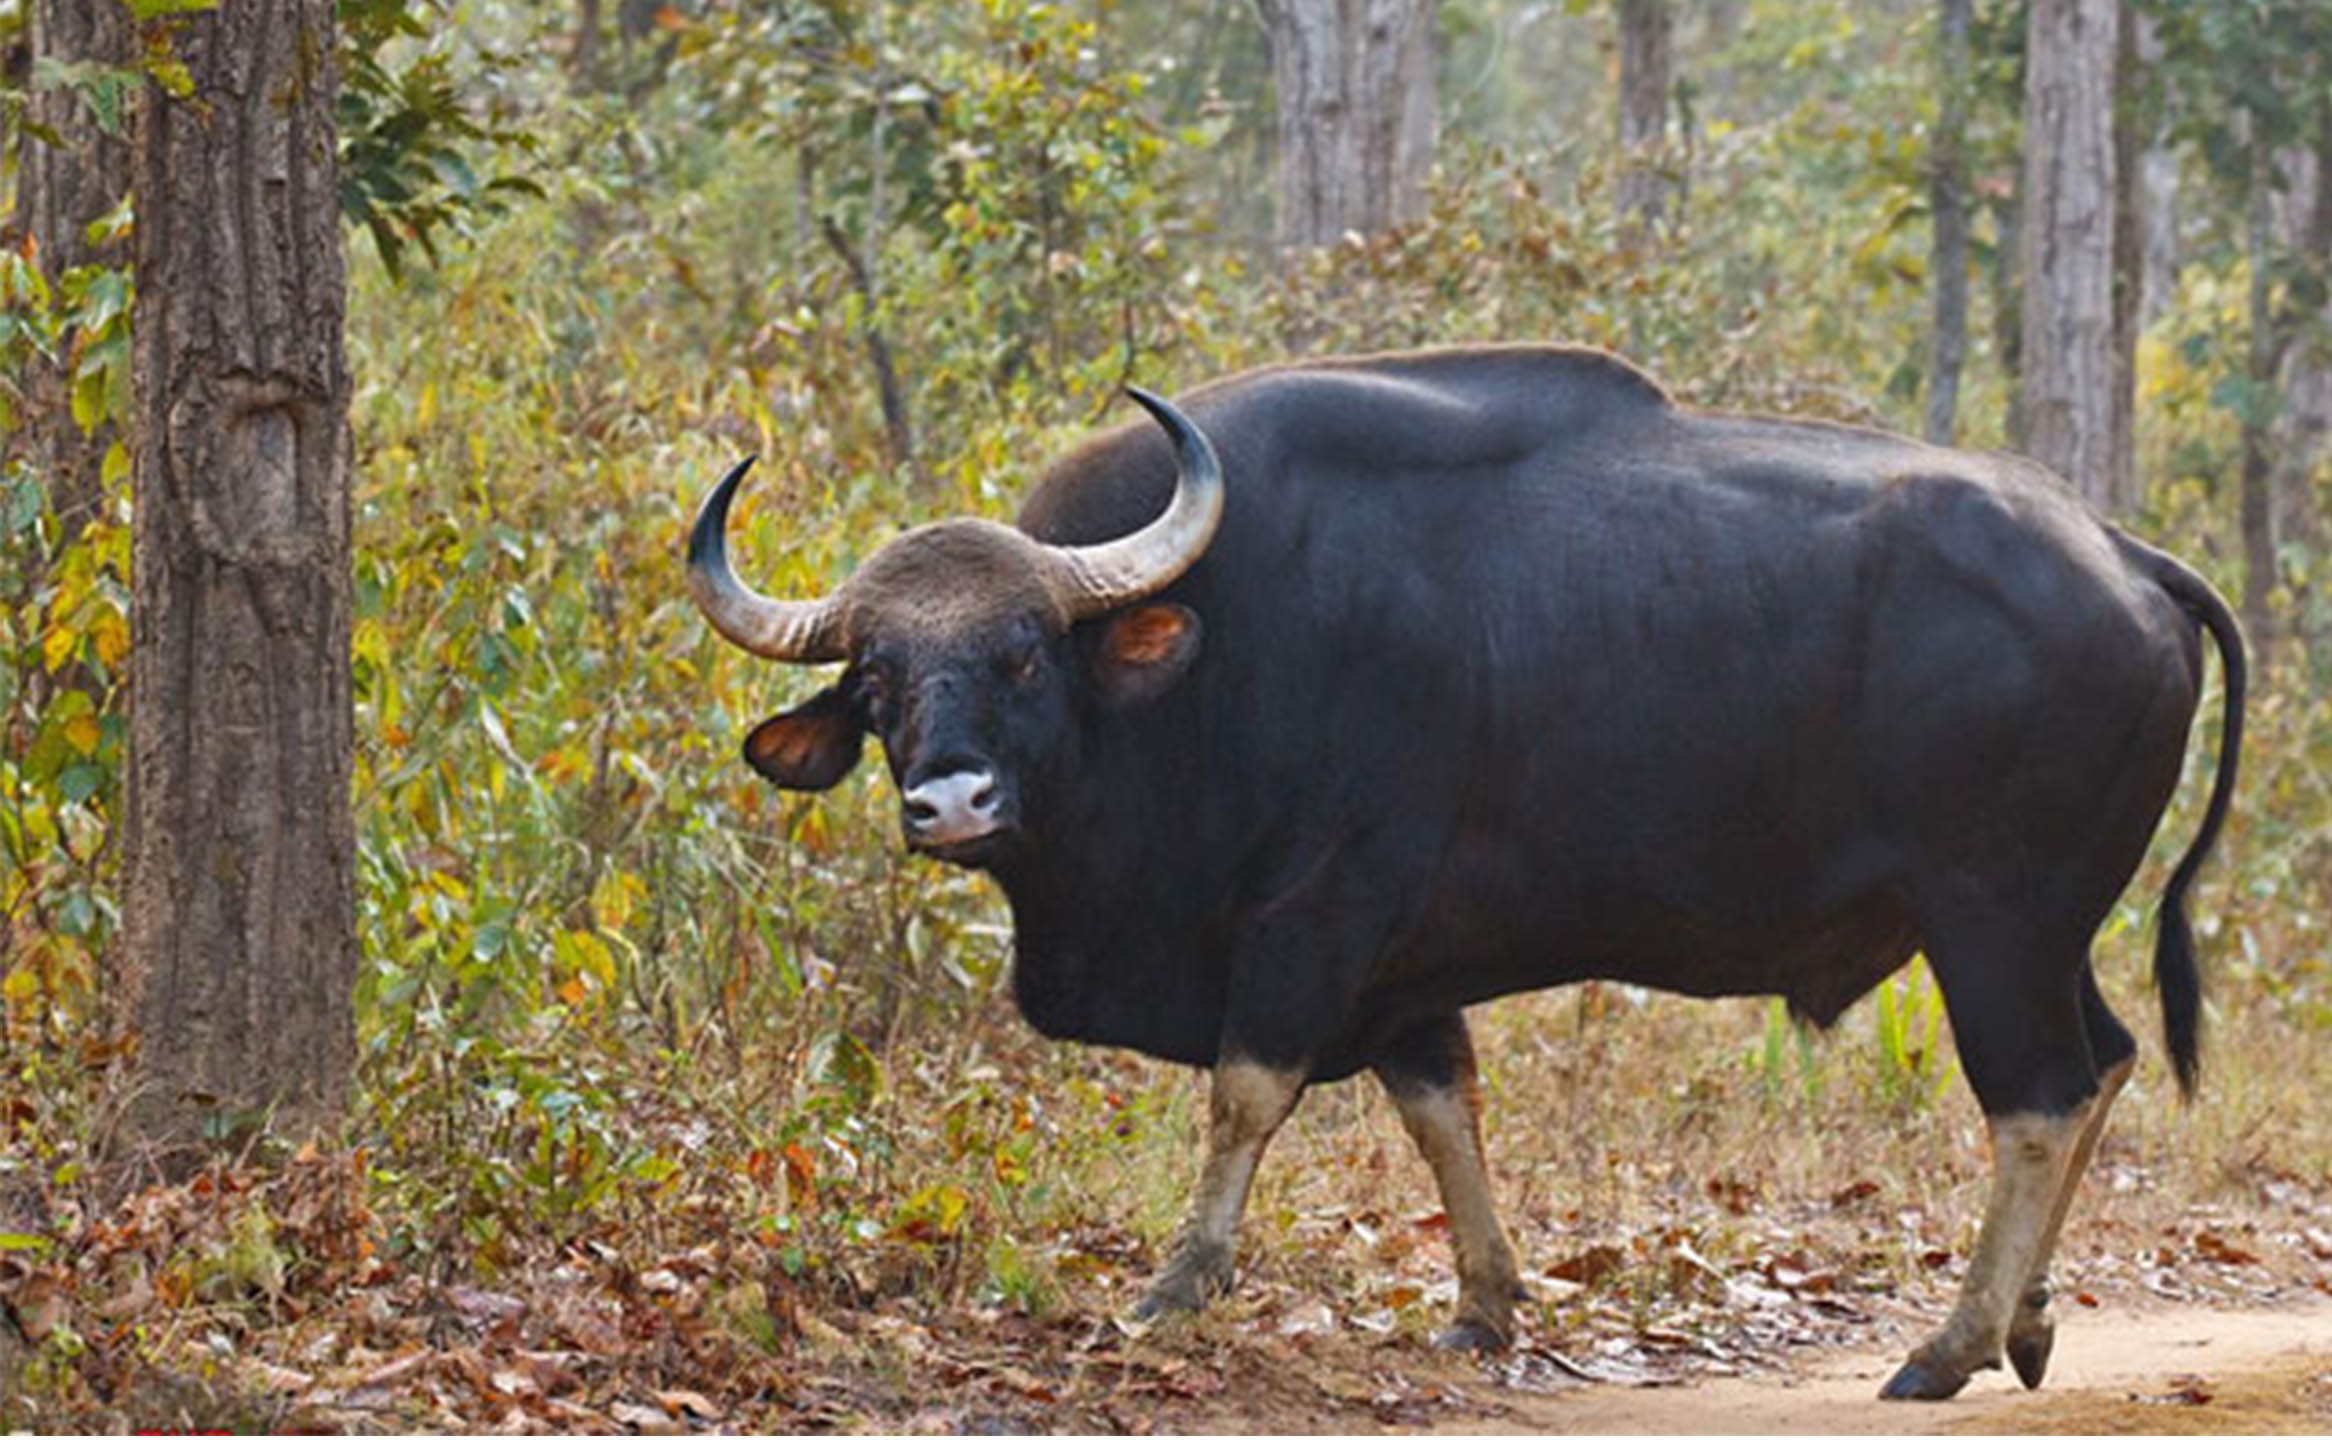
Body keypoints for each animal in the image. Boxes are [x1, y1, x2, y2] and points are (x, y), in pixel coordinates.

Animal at [686, 345, 2244, 1400]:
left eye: (1020, 653)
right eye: (880, 678)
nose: (950, 801)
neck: (1207, 657)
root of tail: (2126, 558)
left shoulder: (1313, 920)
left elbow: (1246, 1094)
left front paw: (1176, 1285)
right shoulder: (1403, 973)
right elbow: (1444, 1107)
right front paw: (1486, 1304)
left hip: (1992, 924)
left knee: (2038, 1099)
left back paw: (1950, 1341)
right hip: (2044, 930)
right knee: (2104, 1062)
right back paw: (2027, 1321)